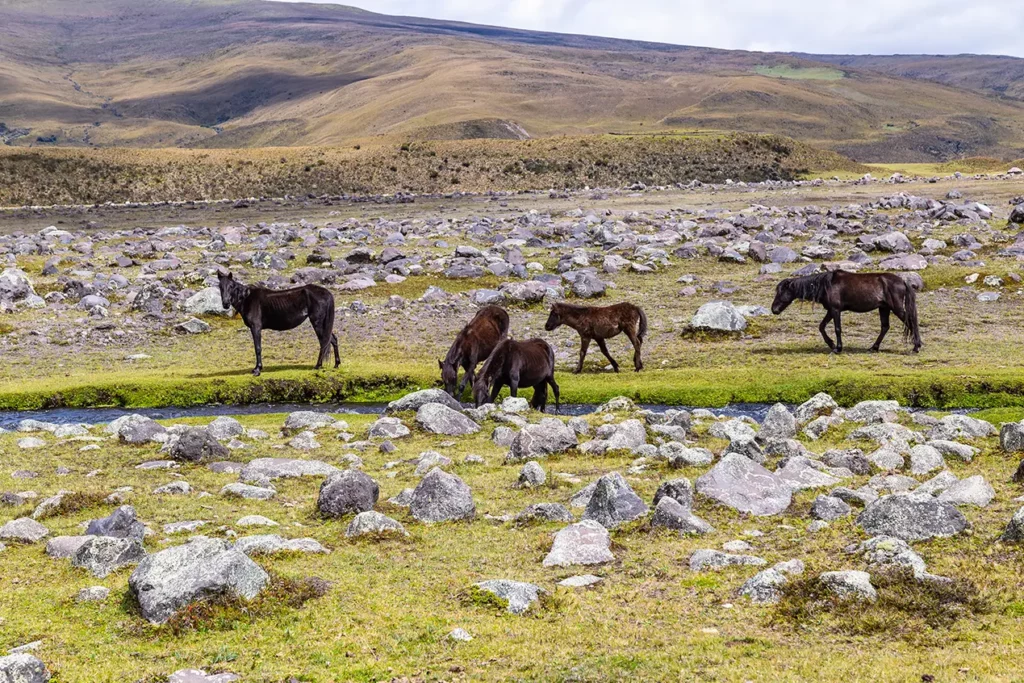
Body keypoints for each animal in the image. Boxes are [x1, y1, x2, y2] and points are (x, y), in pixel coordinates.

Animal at [771, 270, 922, 353]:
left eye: (781, 292)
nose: (774, 310)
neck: (827, 285)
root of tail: (903, 281)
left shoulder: (835, 310)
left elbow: (837, 329)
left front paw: (838, 348)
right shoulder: (830, 311)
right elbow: (821, 326)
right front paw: (831, 344)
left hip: (896, 308)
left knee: (911, 321)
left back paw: (916, 347)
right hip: (884, 308)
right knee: (885, 327)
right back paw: (874, 347)